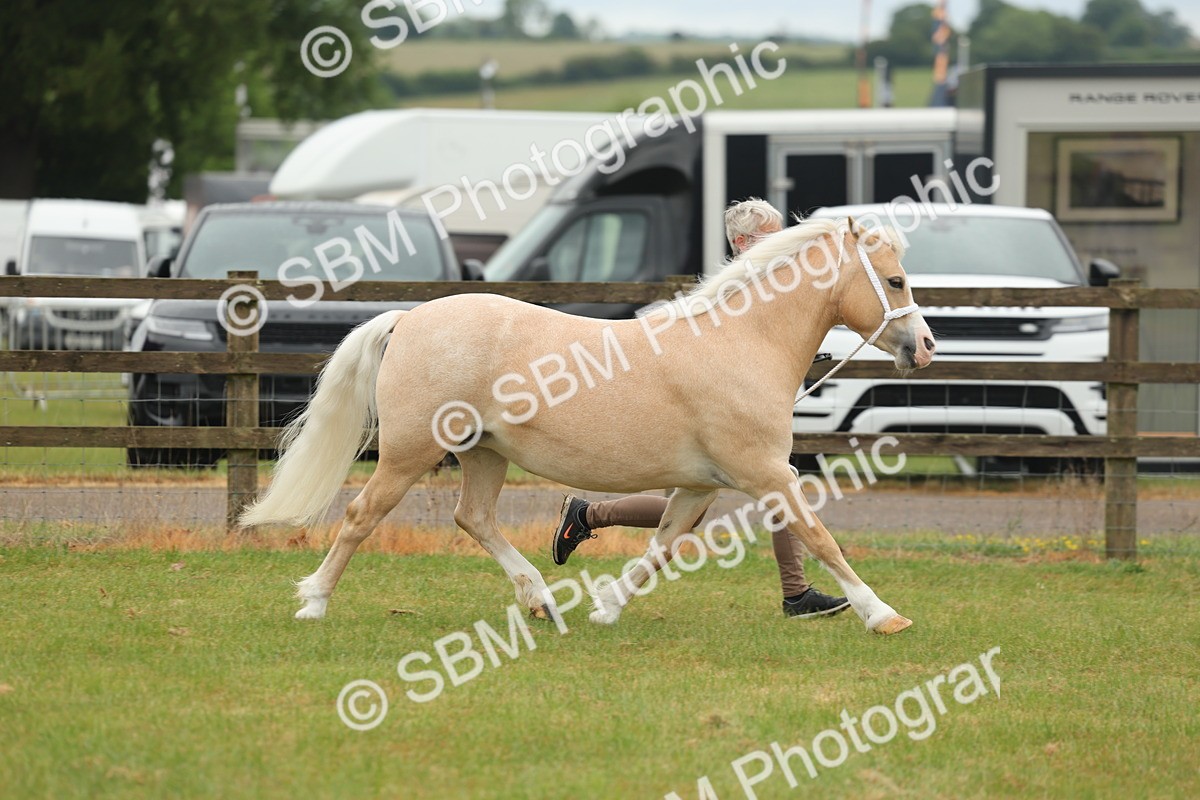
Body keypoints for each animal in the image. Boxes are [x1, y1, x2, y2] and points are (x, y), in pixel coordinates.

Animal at [239, 217, 936, 635]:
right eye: (896, 279)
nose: (925, 346)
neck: (740, 341)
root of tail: (409, 319)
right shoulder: (766, 473)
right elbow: (820, 537)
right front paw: (884, 614)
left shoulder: (702, 486)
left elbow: (661, 547)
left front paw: (605, 606)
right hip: (411, 453)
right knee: (363, 516)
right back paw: (314, 602)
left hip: (484, 453)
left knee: (474, 518)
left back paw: (541, 600)